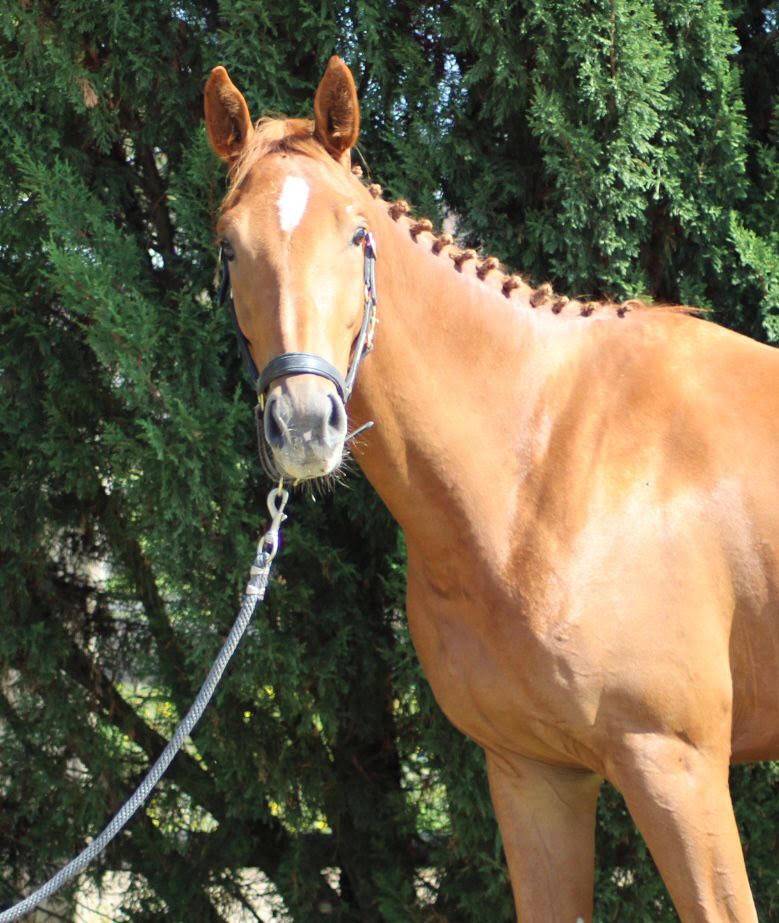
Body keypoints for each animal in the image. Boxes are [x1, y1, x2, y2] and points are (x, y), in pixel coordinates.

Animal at [203, 56, 779, 922]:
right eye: (231, 248)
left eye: (356, 234)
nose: (304, 423)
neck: (543, 466)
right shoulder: (532, 774)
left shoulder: (675, 767)